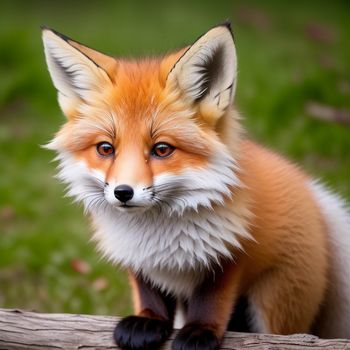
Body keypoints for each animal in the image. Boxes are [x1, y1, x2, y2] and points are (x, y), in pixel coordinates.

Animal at [42, 23, 350, 348]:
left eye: (162, 149)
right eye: (105, 148)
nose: (123, 192)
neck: (159, 238)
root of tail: (311, 196)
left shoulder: (228, 257)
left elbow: (211, 302)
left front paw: (201, 332)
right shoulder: (139, 260)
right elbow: (149, 295)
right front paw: (149, 321)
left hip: (273, 303)